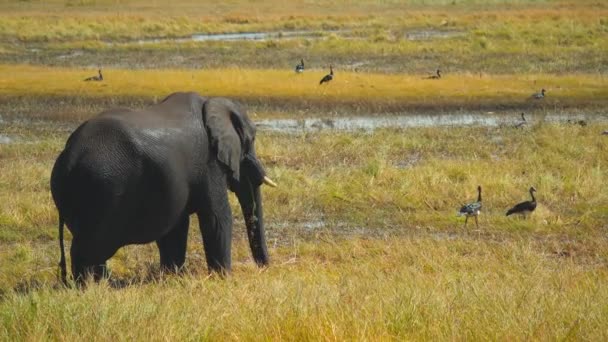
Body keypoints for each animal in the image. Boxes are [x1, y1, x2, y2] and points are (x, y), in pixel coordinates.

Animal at [51, 91, 276, 284]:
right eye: (251, 140)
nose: (265, 268)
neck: (211, 103)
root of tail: (68, 157)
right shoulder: (209, 164)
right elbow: (216, 217)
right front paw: (223, 278)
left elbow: (176, 226)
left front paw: (172, 277)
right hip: (101, 190)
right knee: (89, 247)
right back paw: (91, 287)